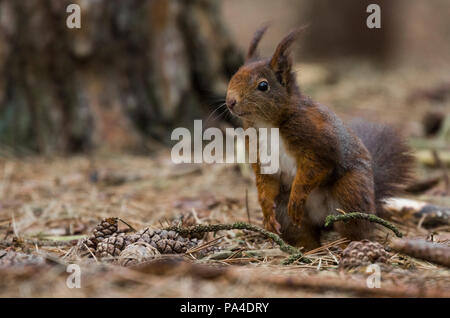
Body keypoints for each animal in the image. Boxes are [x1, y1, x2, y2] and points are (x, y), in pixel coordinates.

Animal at [227, 26, 414, 250]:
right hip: (286, 211)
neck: (267, 124)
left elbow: (315, 168)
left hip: (350, 191)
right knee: (302, 232)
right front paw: (266, 213)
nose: (230, 102)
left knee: (354, 226)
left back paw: (348, 245)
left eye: (263, 86)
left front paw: (297, 197)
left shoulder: (319, 141)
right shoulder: (260, 153)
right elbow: (265, 181)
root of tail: (323, 219)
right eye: (234, 76)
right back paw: (307, 249)